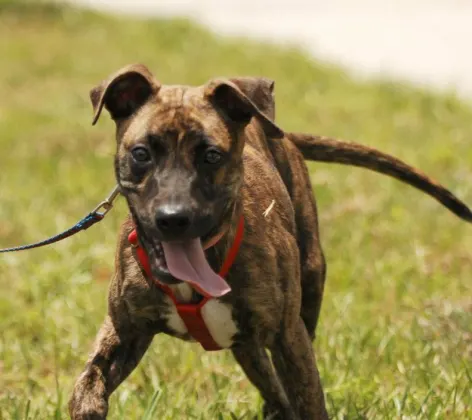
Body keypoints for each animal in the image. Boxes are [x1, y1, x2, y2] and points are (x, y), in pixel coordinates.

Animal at [68, 64, 470, 418]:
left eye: (211, 156)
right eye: (141, 153)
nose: (173, 218)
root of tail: (282, 134)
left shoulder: (289, 339)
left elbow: (309, 401)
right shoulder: (124, 331)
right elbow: (84, 389)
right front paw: (89, 404)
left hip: (307, 287)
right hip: (248, 345)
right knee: (270, 384)